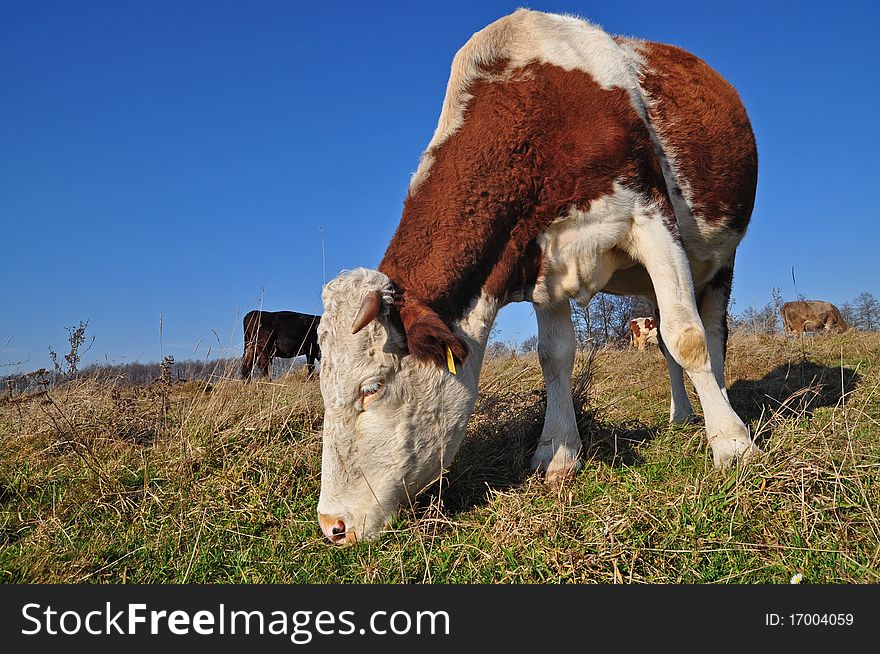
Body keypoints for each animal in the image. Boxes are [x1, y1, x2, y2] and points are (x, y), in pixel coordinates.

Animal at [318, 9, 764, 548]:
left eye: (373, 387)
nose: (331, 525)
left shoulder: (652, 219)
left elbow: (689, 338)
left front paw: (733, 446)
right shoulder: (539, 262)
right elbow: (555, 357)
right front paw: (558, 453)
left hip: (718, 261)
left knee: (711, 333)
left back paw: (719, 410)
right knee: (661, 338)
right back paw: (681, 416)